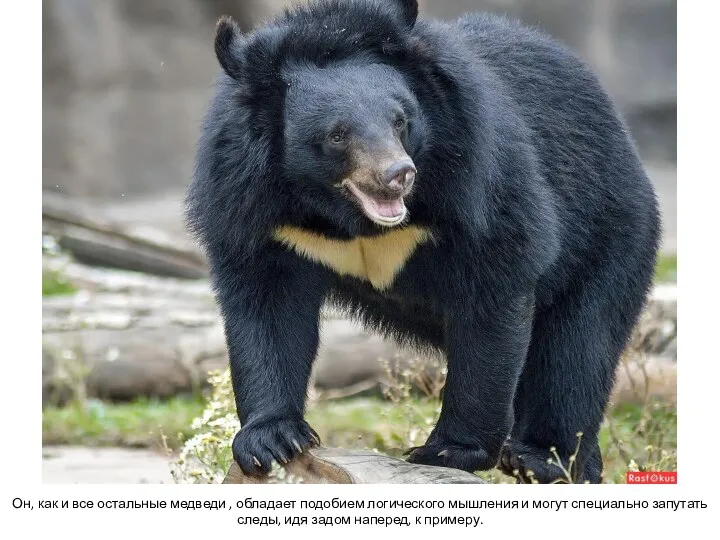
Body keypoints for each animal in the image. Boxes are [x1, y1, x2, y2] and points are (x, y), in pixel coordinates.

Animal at [184, 0, 660, 484]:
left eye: (401, 121)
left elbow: (494, 293)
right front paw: (272, 439)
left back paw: (543, 458)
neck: (346, 218)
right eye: (337, 135)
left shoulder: (478, 179)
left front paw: (450, 450)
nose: (398, 174)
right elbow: (267, 306)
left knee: (577, 346)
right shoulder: (255, 207)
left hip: (610, 230)